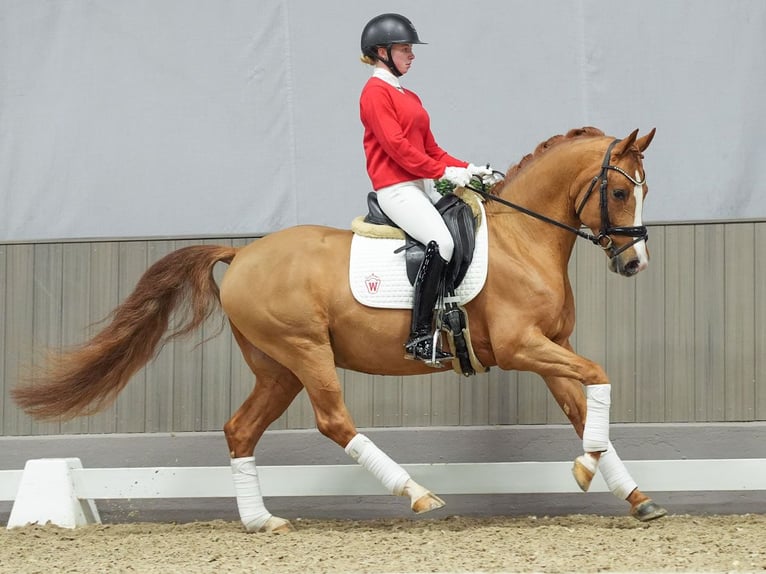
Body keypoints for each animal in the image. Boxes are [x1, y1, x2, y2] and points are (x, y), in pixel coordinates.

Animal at [15, 126, 668, 536]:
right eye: (617, 190)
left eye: (643, 190)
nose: (636, 264)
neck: (521, 240)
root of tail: (242, 255)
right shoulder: (521, 348)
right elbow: (600, 379)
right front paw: (587, 472)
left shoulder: (551, 347)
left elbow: (585, 410)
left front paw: (632, 495)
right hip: (305, 352)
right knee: (334, 421)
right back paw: (418, 494)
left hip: (277, 368)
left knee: (240, 429)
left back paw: (261, 521)